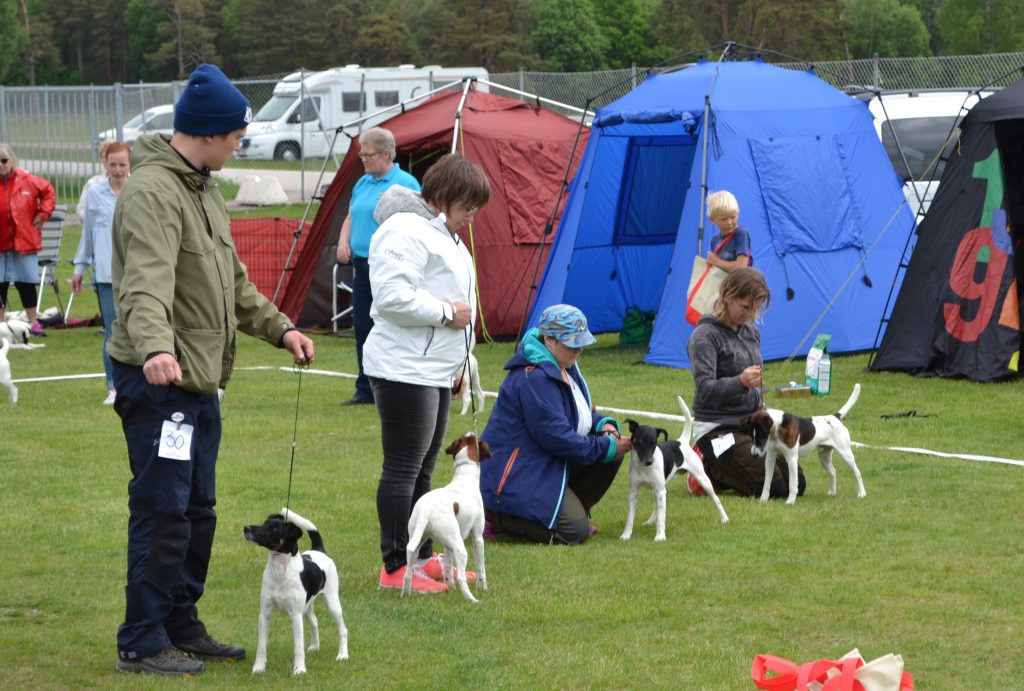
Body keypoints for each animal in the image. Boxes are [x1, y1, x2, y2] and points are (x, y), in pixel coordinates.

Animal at [242, 507, 348, 675]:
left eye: (274, 528)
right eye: (265, 523)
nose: (246, 528)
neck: (280, 572)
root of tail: (319, 550)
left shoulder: (295, 615)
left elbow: (298, 646)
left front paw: (299, 669)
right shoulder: (265, 614)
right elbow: (261, 646)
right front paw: (259, 667)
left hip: (332, 603)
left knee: (343, 629)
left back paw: (343, 655)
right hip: (307, 606)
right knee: (315, 621)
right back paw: (315, 646)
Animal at [618, 395, 733, 540]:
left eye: (654, 443)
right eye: (640, 442)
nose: (649, 461)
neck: (644, 468)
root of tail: (681, 441)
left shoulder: (660, 491)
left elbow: (662, 518)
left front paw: (660, 536)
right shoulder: (634, 491)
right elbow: (630, 517)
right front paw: (626, 535)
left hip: (702, 480)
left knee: (716, 499)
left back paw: (724, 518)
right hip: (660, 488)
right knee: (657, 506)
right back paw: (650, 521)